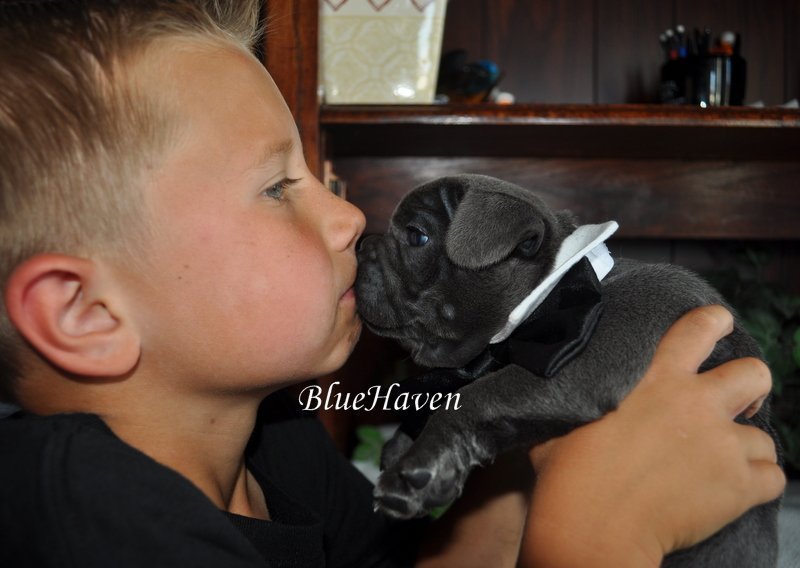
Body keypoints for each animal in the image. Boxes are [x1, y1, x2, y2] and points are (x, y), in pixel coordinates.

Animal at [355, 174, 782, 567]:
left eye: (417, 236)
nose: (360, 244)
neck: (550, 288)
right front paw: (404, 446)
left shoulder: (582, 365)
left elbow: (468, 396)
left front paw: (419, 466)